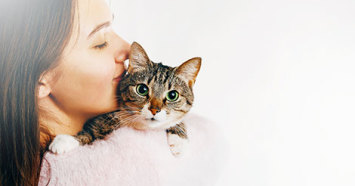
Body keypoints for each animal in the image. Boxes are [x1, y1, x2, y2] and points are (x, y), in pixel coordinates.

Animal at [48, 41, 202, 156]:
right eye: (142, 89)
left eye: (172, 95)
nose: (154, 110)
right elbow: (91, 130)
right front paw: (66, 140)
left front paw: (179, 141)